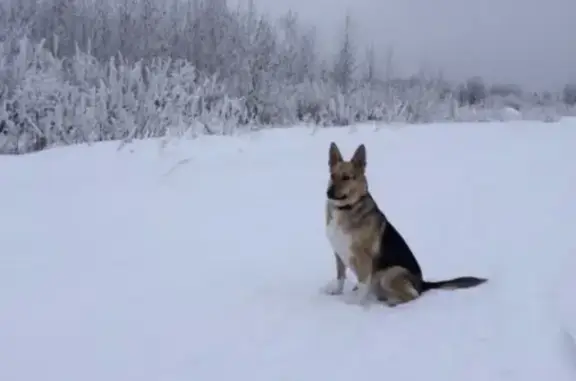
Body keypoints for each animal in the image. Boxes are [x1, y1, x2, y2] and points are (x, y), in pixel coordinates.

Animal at [324, 142, 486, 306]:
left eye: (346, 177)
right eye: (332, 176)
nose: (328, 193)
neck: (346, 208)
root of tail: (422, 284)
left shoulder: (364, 258)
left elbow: (363, 284)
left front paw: (354, 305)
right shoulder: (338, 253)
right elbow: (340, 277)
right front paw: (337, 292)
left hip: (390, 274)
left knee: (412, 295)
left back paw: (391, 302)